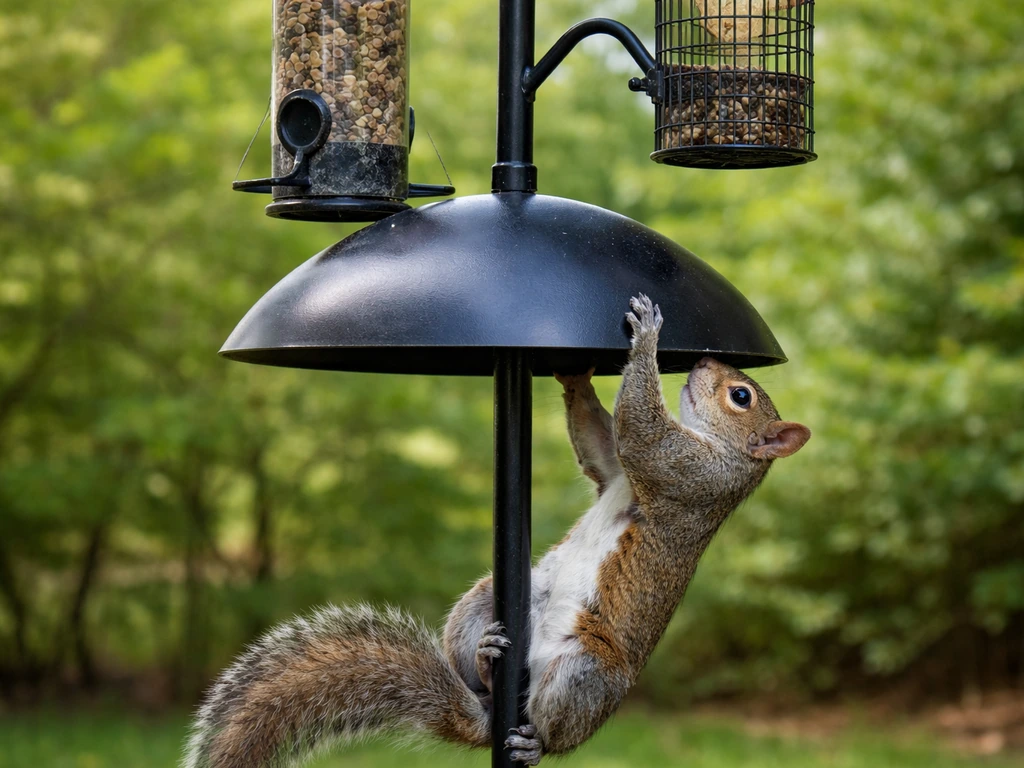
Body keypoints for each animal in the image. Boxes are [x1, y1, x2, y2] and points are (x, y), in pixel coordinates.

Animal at [184, 294, 811, 768]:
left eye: (740, 396)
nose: (704, 361)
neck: (727, 457)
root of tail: (493, 724)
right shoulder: (616, 472)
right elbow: (603, 441)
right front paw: (576, 372)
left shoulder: (687, 475)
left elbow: (640, 431)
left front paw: (648, 338)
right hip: (489, 599)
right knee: (486, 662)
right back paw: (486, 660)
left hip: (588, 671)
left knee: (553, 729)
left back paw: (533, 743)